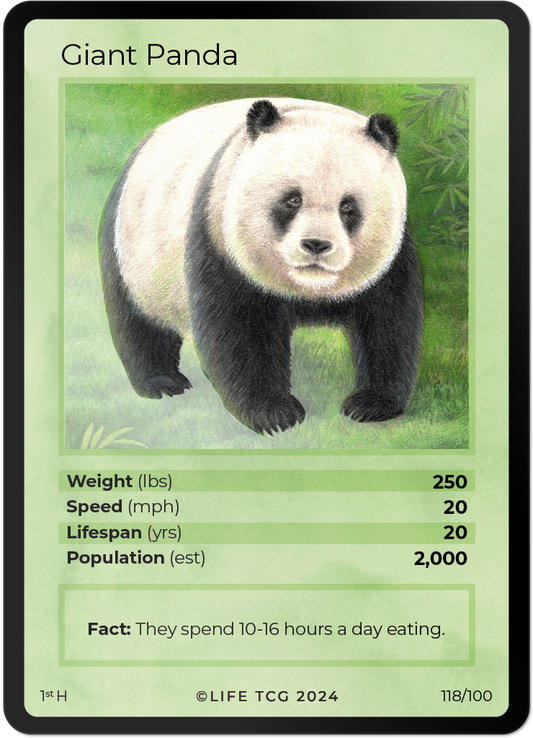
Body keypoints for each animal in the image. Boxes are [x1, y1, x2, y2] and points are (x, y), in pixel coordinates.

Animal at [100, 97, 423, 434]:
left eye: (347, 206)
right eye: (292, 200)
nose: (316, 245)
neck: (310, 291)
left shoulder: (393, 256)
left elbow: (388, 323)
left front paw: (372, 403)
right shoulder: (220, 237)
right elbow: (241, 332)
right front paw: (275, 413)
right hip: (133, 248)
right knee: (137, 321)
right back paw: (161, 382)